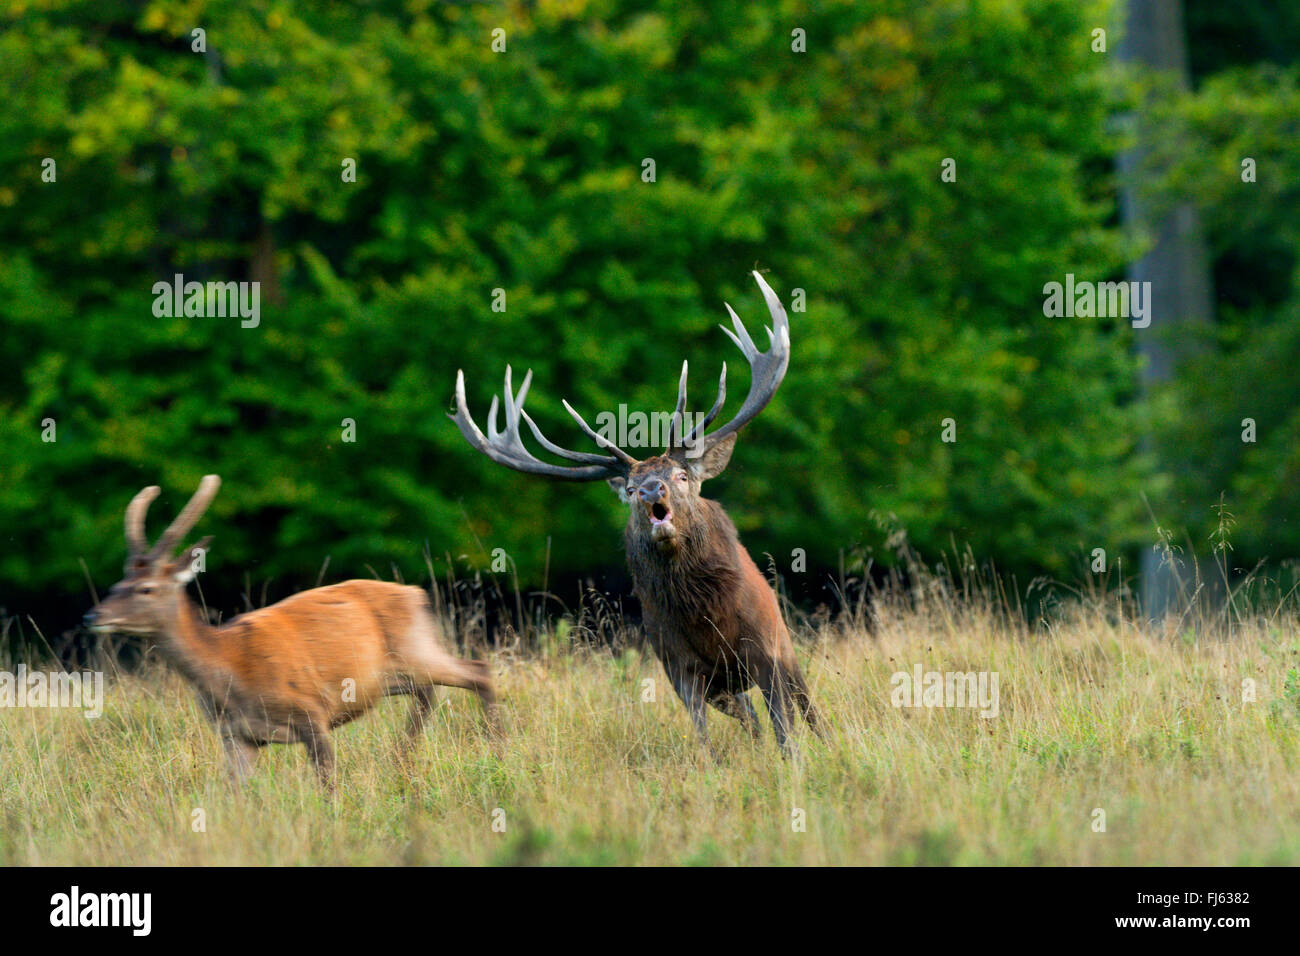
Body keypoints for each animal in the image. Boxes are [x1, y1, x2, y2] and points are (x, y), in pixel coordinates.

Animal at [82, 476, 496, 790]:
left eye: (146, 589)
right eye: (118, 583)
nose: (92, 615)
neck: (229, 672)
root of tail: (417, 594)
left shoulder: (312, 714)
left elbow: (328, 786)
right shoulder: (236, 736)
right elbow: (236, 795)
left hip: (415, 646)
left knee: (477, 671)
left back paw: (496, 746)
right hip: (390, 673)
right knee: (429, 691)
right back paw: (404, 757)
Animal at [454, 273, 821, 759]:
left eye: (681, 474)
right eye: (629, 490)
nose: (650, 490)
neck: (706, 617)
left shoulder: (764, 647)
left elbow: (787, 728)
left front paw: (794, 763)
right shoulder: (679, 668)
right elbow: (706, 736)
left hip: (786, 647)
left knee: (807, 710)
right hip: (727, 688)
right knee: (752, 719)